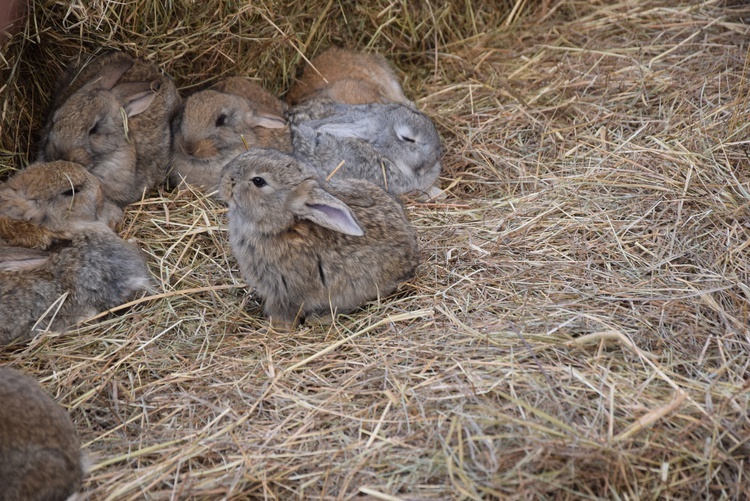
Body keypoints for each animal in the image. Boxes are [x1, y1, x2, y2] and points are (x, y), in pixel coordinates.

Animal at [219, 146, 424, 326]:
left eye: (258, 181)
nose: (224, 174)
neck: (282, 226)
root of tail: (412, 260)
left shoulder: (283, 291)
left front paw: (277, 326)